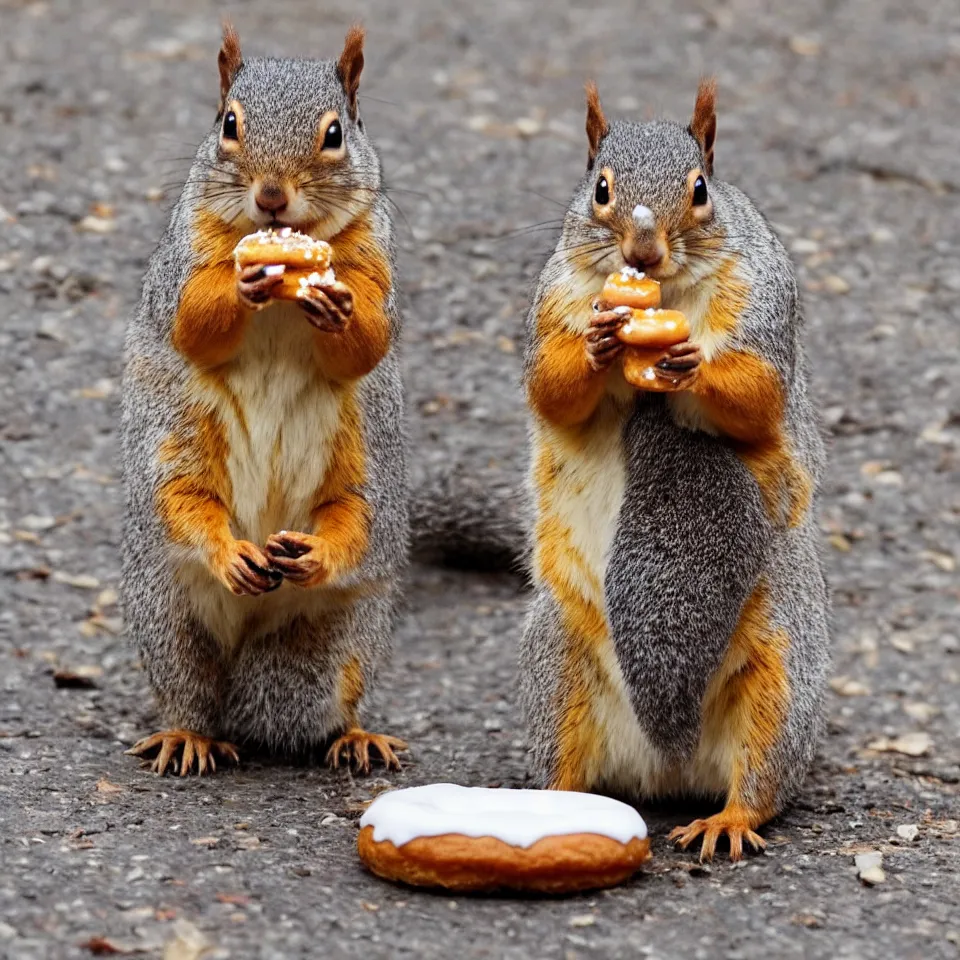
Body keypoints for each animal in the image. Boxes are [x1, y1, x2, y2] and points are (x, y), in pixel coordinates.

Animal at [120, 24, 411, 776]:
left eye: (335, 133)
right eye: (228, 123)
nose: (272, 198)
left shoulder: (375, 258)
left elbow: (367, 341)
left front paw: (340, 310)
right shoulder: (185, 257)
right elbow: (194, 319)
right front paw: (241, 281)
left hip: (351, 590)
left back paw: (353, 734)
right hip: (169, 564)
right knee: (188, 676)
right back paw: (189, 733)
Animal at [518, 80, 830, 861]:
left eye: (700, 190)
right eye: (600, 187)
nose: (643, 247)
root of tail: (667, 770)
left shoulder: (763, 303)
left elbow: (757, 395)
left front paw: (694, 362)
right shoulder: (554, 304)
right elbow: (552, 387)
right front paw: (598, 345)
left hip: (783, 665)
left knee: (762, 771)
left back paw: (729, 820)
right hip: (556, 662)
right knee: (563, 754)